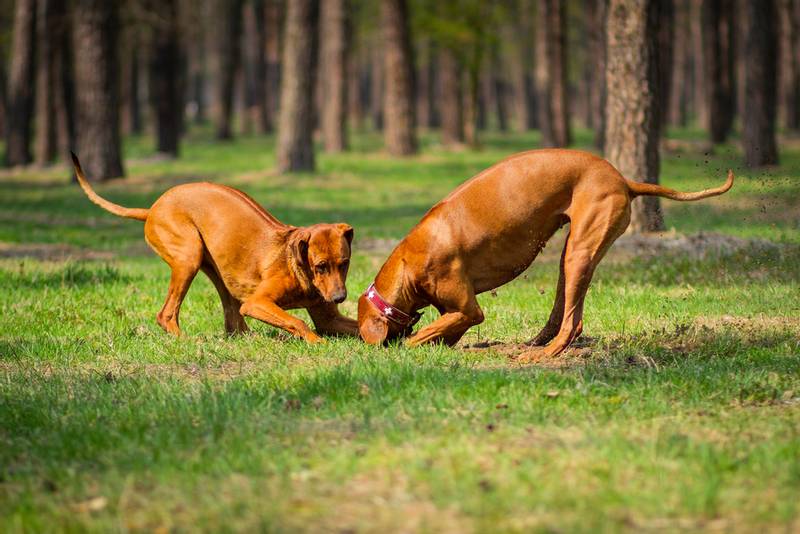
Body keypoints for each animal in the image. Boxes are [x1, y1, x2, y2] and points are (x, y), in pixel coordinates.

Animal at [74, 153, 356, 344]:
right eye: (320, 266)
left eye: (344, 263)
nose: (339, 298)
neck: (299, 269)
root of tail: (152, 208)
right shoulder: (257, 303)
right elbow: (297, 321)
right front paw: (318, 342)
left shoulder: (329, 318)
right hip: (188, 257)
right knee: (167, 314)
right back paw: (186, 341)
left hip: (219, 270)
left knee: (232, 321)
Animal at [360, 149, 736, 362]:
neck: (407, 262)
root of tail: (625, 180)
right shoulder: (452, 313)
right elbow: (440, 332)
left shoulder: (468, 310)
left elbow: (421, 337)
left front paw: (405, 347)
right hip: (573, 255)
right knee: (564, 309)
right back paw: (536, 343)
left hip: (580, 251)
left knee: (574, 322)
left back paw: (546, 354)